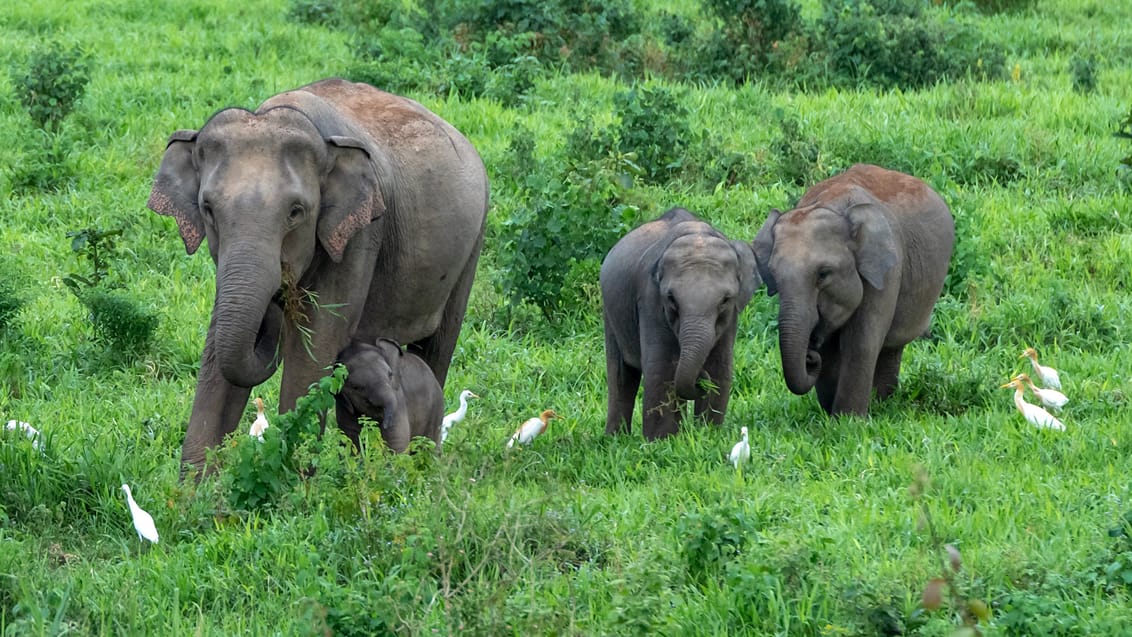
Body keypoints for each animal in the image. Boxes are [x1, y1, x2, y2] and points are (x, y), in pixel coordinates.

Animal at [148, 79, 489, 475]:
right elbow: (219, 342)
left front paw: (291, 480)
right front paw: (193, 489)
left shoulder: (360, 232)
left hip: (473, 243)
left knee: (437, 346)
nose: (276, 303)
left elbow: (317, 343)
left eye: (296, 212)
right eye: (208, 209)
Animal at [602, 207, 760, 441]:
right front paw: (661, 440)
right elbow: (662, 367)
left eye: (725, 300)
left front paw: (708, 434)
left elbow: (720, 367)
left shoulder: (731, 316)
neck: (697, 233)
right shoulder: (650, 301)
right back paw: (615, 438)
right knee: (621, 374)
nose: (700, 380)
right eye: (671, 298)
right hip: (610, 311)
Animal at [751, 161, 955, 416]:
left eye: (823, 274)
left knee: (892, 345)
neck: (831, 204)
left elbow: (860, 343)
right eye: (774, 277)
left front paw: (847, 419)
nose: (810, 356)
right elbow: (829, 349)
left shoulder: (886, 272)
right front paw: (832, 414)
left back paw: (880, 404)